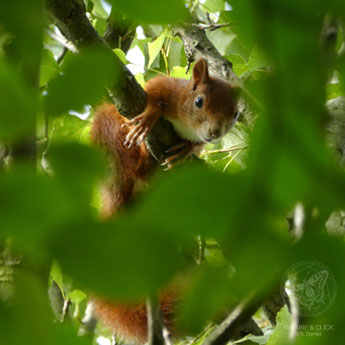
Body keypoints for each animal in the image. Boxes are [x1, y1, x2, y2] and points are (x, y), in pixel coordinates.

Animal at [90, 58, 238, 342]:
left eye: (236, 114)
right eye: (199, 101)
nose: (214, 133)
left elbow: (195, 147)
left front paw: (187, 149)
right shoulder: (166, 87)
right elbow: (152, 94)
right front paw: (150, 116)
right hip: (111, 137)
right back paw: (142, 155)